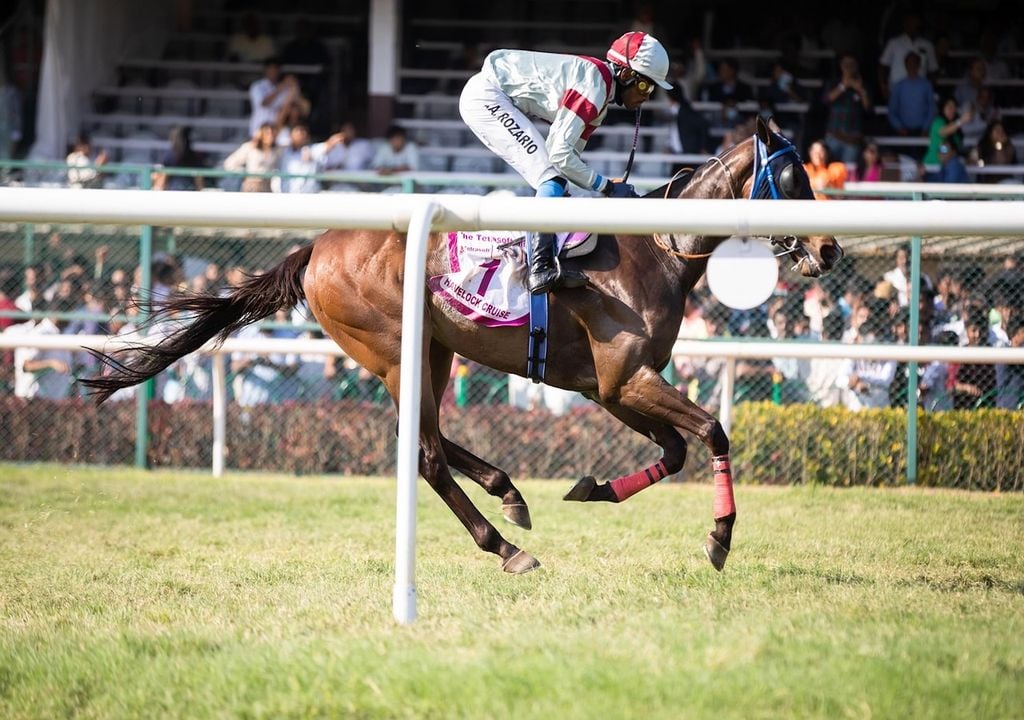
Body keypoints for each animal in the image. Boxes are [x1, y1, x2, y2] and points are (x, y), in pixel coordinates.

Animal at [83, 119, 843, 581]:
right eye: (793, 180)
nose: (832, 248)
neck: (651, 250)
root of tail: (316, 248)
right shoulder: (624, 379)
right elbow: (711, 431)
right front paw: (719, 538)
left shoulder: (609, 387)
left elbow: (678, 447)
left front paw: (593, 488)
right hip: (396, 350)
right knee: (423, 454)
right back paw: (506, 547)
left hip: (433, 350)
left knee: (428, 439)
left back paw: (510, 495)